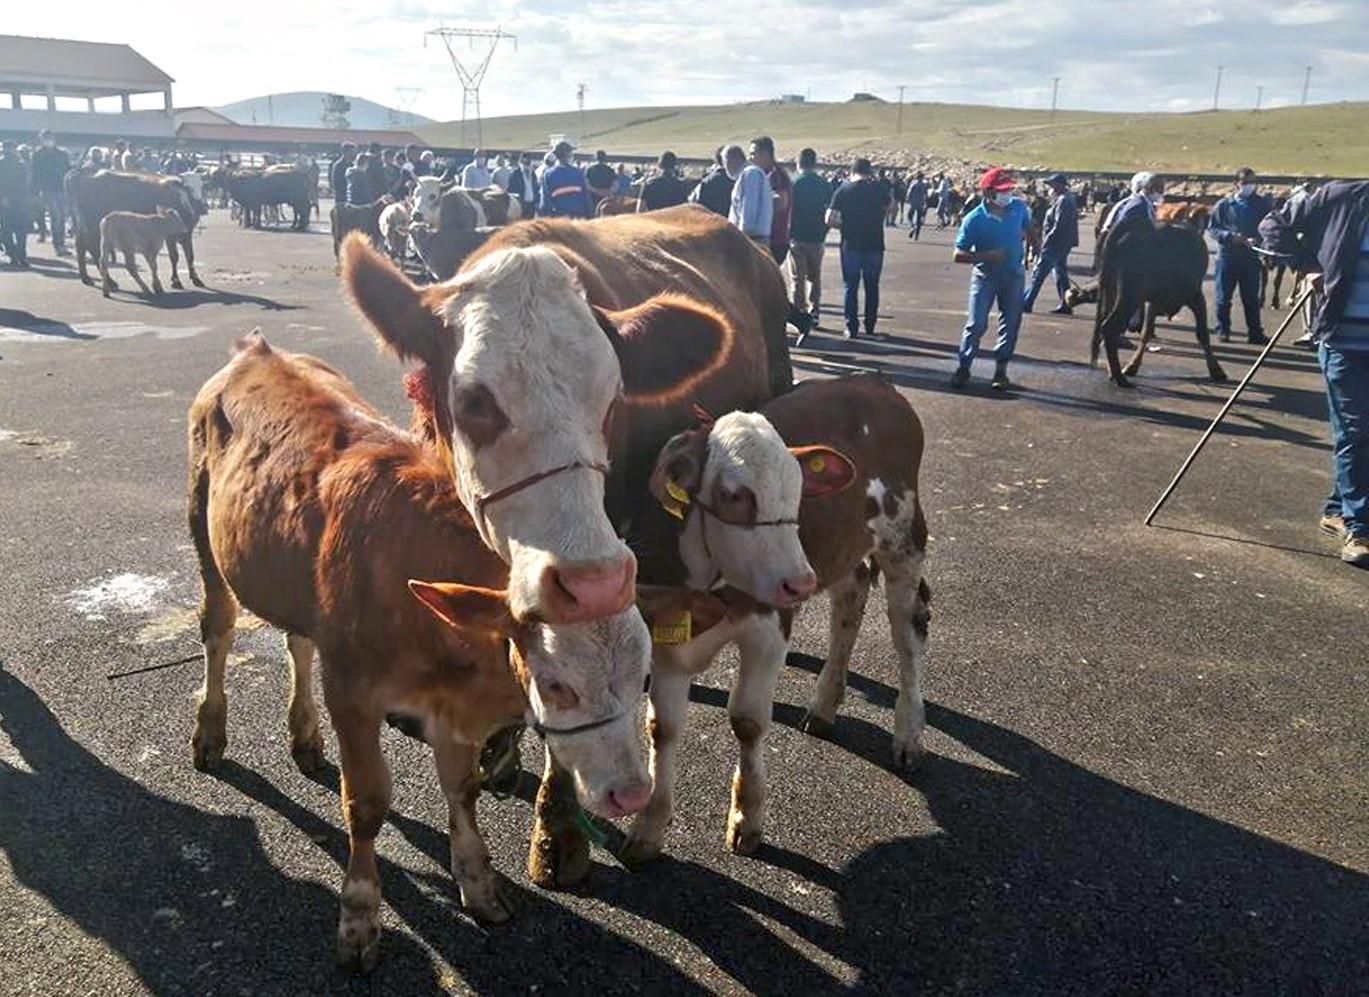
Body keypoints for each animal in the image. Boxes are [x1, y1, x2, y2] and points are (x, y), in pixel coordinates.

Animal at [68, 168, 208, 290]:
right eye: (187, 188)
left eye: (203, 187)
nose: (201, 207)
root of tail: (79, 172)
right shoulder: (170, 236)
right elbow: (174, 257)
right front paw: (176, 280)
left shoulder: (187, 233)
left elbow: (190, 256)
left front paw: (195, 278)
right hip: (92, 225)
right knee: (93, 249)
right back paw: (108, 281)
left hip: (81, 224)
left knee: (81, 246)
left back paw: (86, 278)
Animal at [187, 335, 651, 975]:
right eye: (556, 685)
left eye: (644, 678)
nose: (631, 793)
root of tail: (258, 350)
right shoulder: (352, 691)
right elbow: (366, 803)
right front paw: (359, 917)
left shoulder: (450, 707)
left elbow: (462, 789)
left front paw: (478, 884)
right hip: (203, 527)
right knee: (219, 630)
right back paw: (210, 732)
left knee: (298, 641)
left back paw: (304, 737)